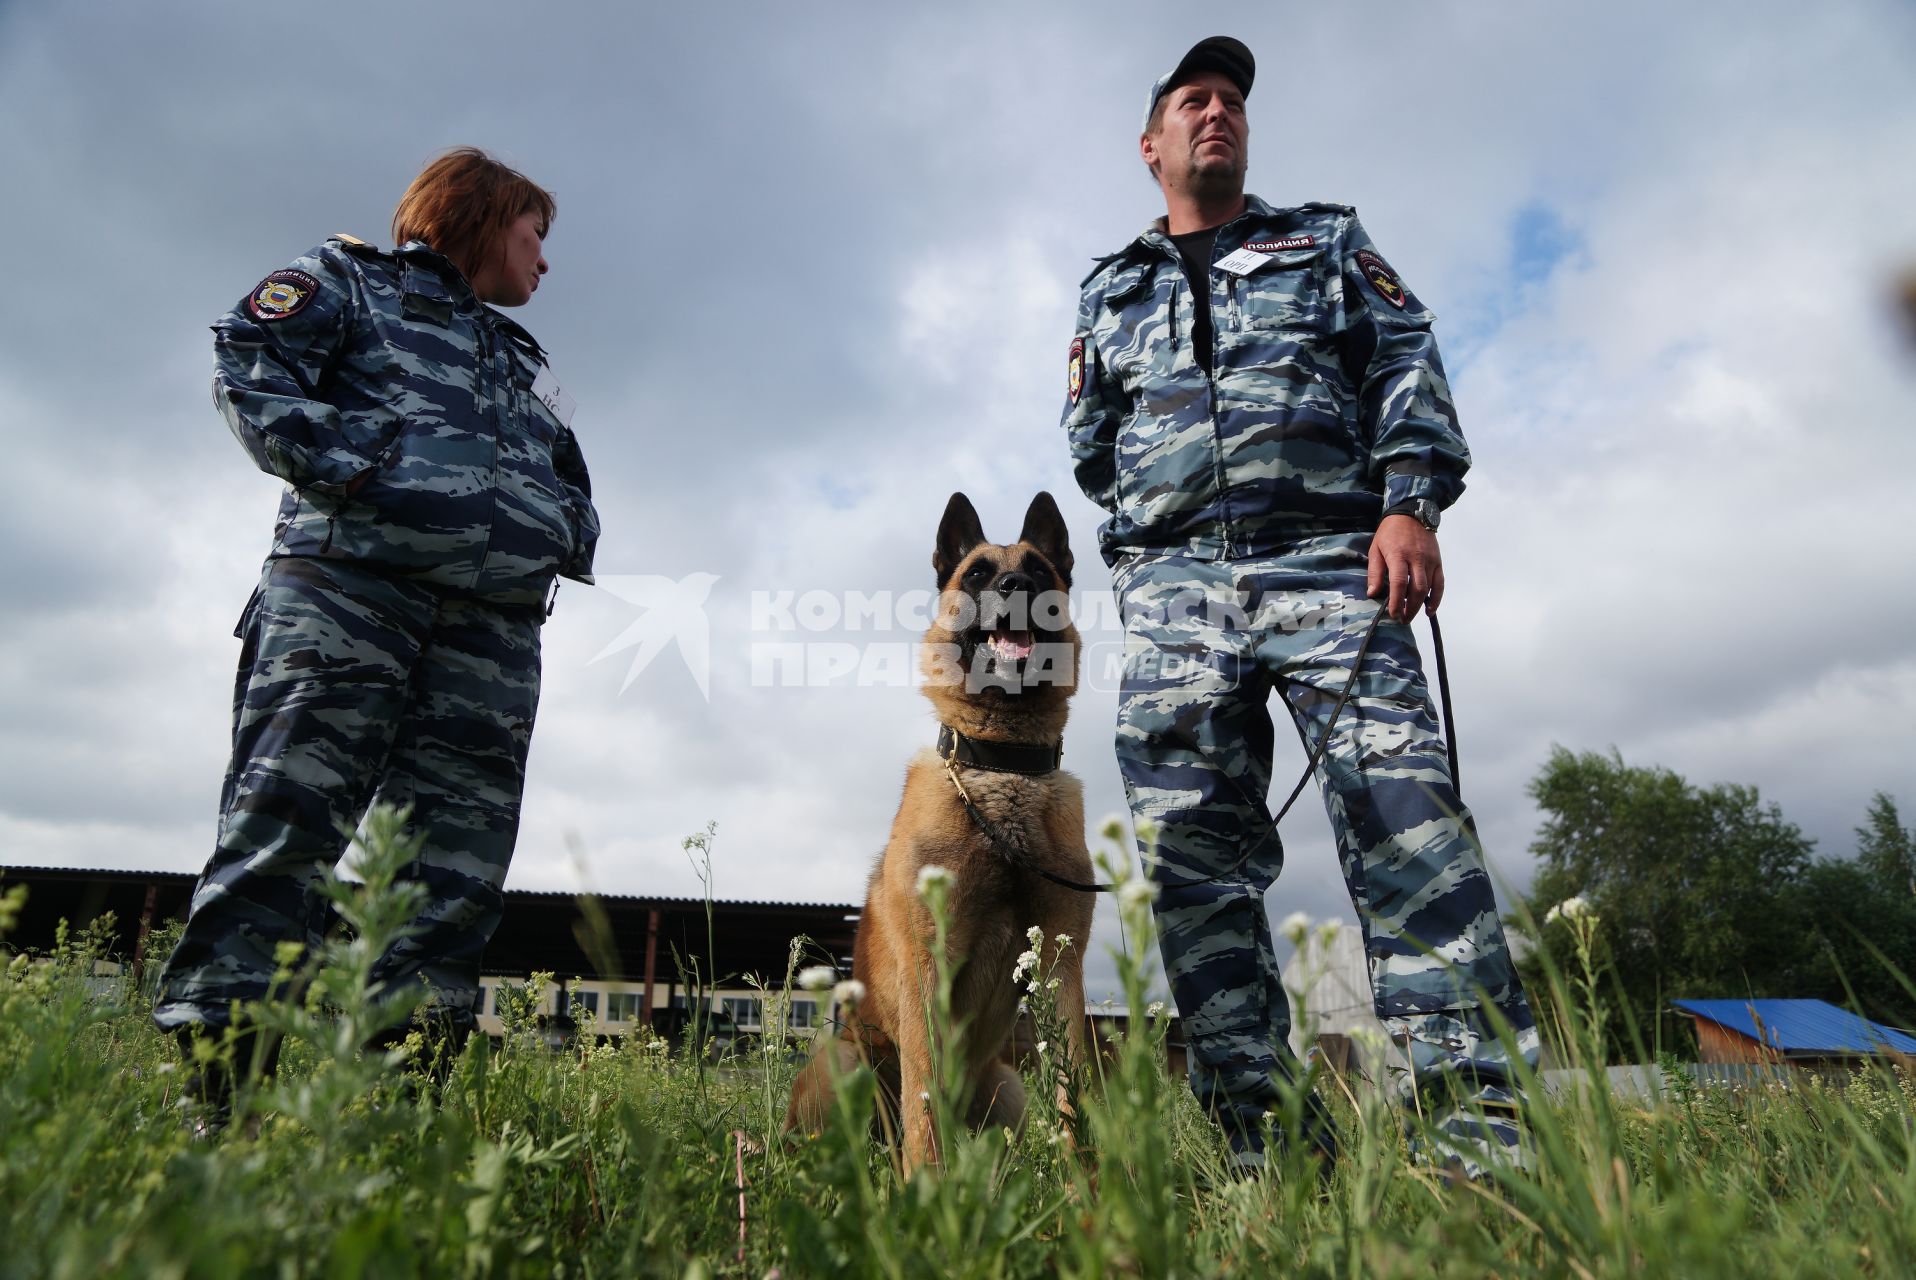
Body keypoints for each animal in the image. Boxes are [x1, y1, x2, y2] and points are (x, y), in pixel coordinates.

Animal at [781, 490, 1095, 1172]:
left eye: (1039, 570)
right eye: (977, 573)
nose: (1015, 586)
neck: (1000, 767)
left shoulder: (1063, 963)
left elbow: (1075, 1089)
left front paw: (1096, 1183)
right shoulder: (929, 964)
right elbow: (924, 1092)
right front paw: (927, 1186)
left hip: (1006, 1086)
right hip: (843, 1059)